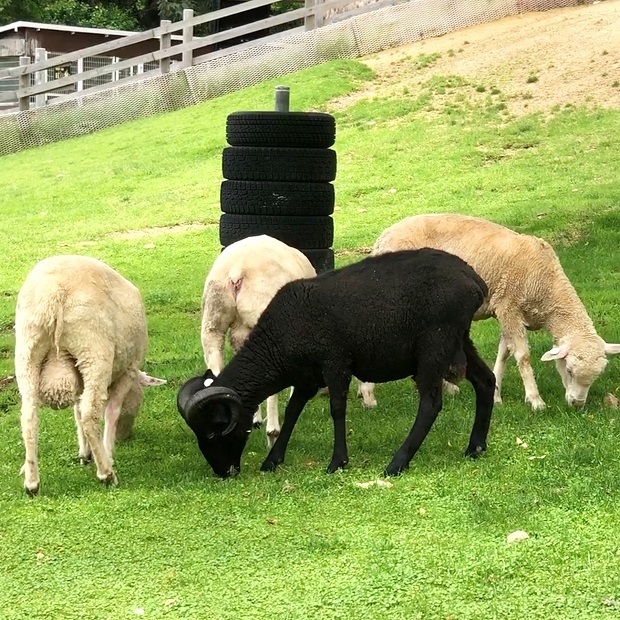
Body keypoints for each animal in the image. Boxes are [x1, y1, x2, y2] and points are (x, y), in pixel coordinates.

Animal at [16, 253, 167, 494]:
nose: (125, 437)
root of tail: (54, 294)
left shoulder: (79, 379)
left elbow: (76, 411)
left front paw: (85, 453)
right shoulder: (129, 369)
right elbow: (111, 411)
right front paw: (107, 451)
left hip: (27, 350)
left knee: (29, 417)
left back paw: (31, 482)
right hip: (94, 351)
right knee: (90, 414)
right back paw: (106, 473)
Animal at [358, 213, 620, 412]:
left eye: (598, 375)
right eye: (569, 370)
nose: (577, 404)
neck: (547, 289)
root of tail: (381, 240)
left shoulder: (508, 314)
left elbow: (504, 353)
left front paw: (495, 395)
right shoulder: (509, 306)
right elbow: (523, 356)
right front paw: (535, 400)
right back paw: (368, 396)